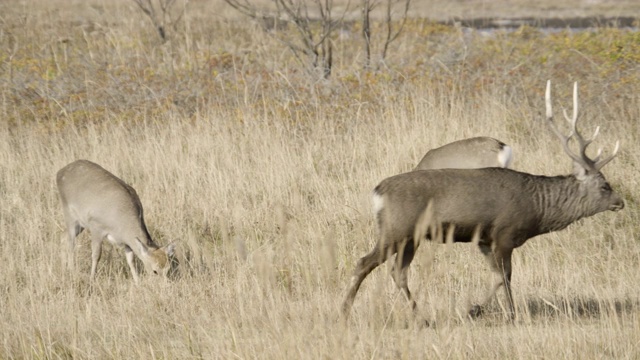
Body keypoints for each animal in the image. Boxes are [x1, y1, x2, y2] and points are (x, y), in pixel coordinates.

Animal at [342, 81, 624, 320]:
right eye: (604, 185)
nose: (620, 202)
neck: (537, 207)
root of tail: (378, 192)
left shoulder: (484, 240)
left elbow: (498, 276)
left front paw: (482, 309)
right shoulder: (504, 233)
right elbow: (505, 276)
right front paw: (499, 312)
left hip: (411, 237)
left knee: (398, 272)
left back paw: (420, 317)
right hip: (396, 229)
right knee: (364, 263)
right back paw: (345, 310)